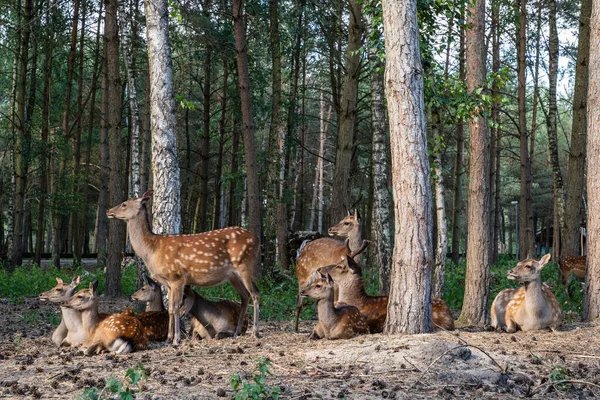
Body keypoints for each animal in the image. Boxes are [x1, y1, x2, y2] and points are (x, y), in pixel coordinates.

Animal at [108, 190, 260, 344]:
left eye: (124, 204)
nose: (109, 211)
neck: (152, 250)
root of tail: (257, 239)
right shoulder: (168, 282)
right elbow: (169, 308)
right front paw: (168, 339)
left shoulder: (177, 277)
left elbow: (175, 308)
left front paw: (176, 339)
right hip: (233, 275)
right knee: (245, 296)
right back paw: (236, 332)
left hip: (245, 265)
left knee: (255, 293)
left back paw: (255, 332)